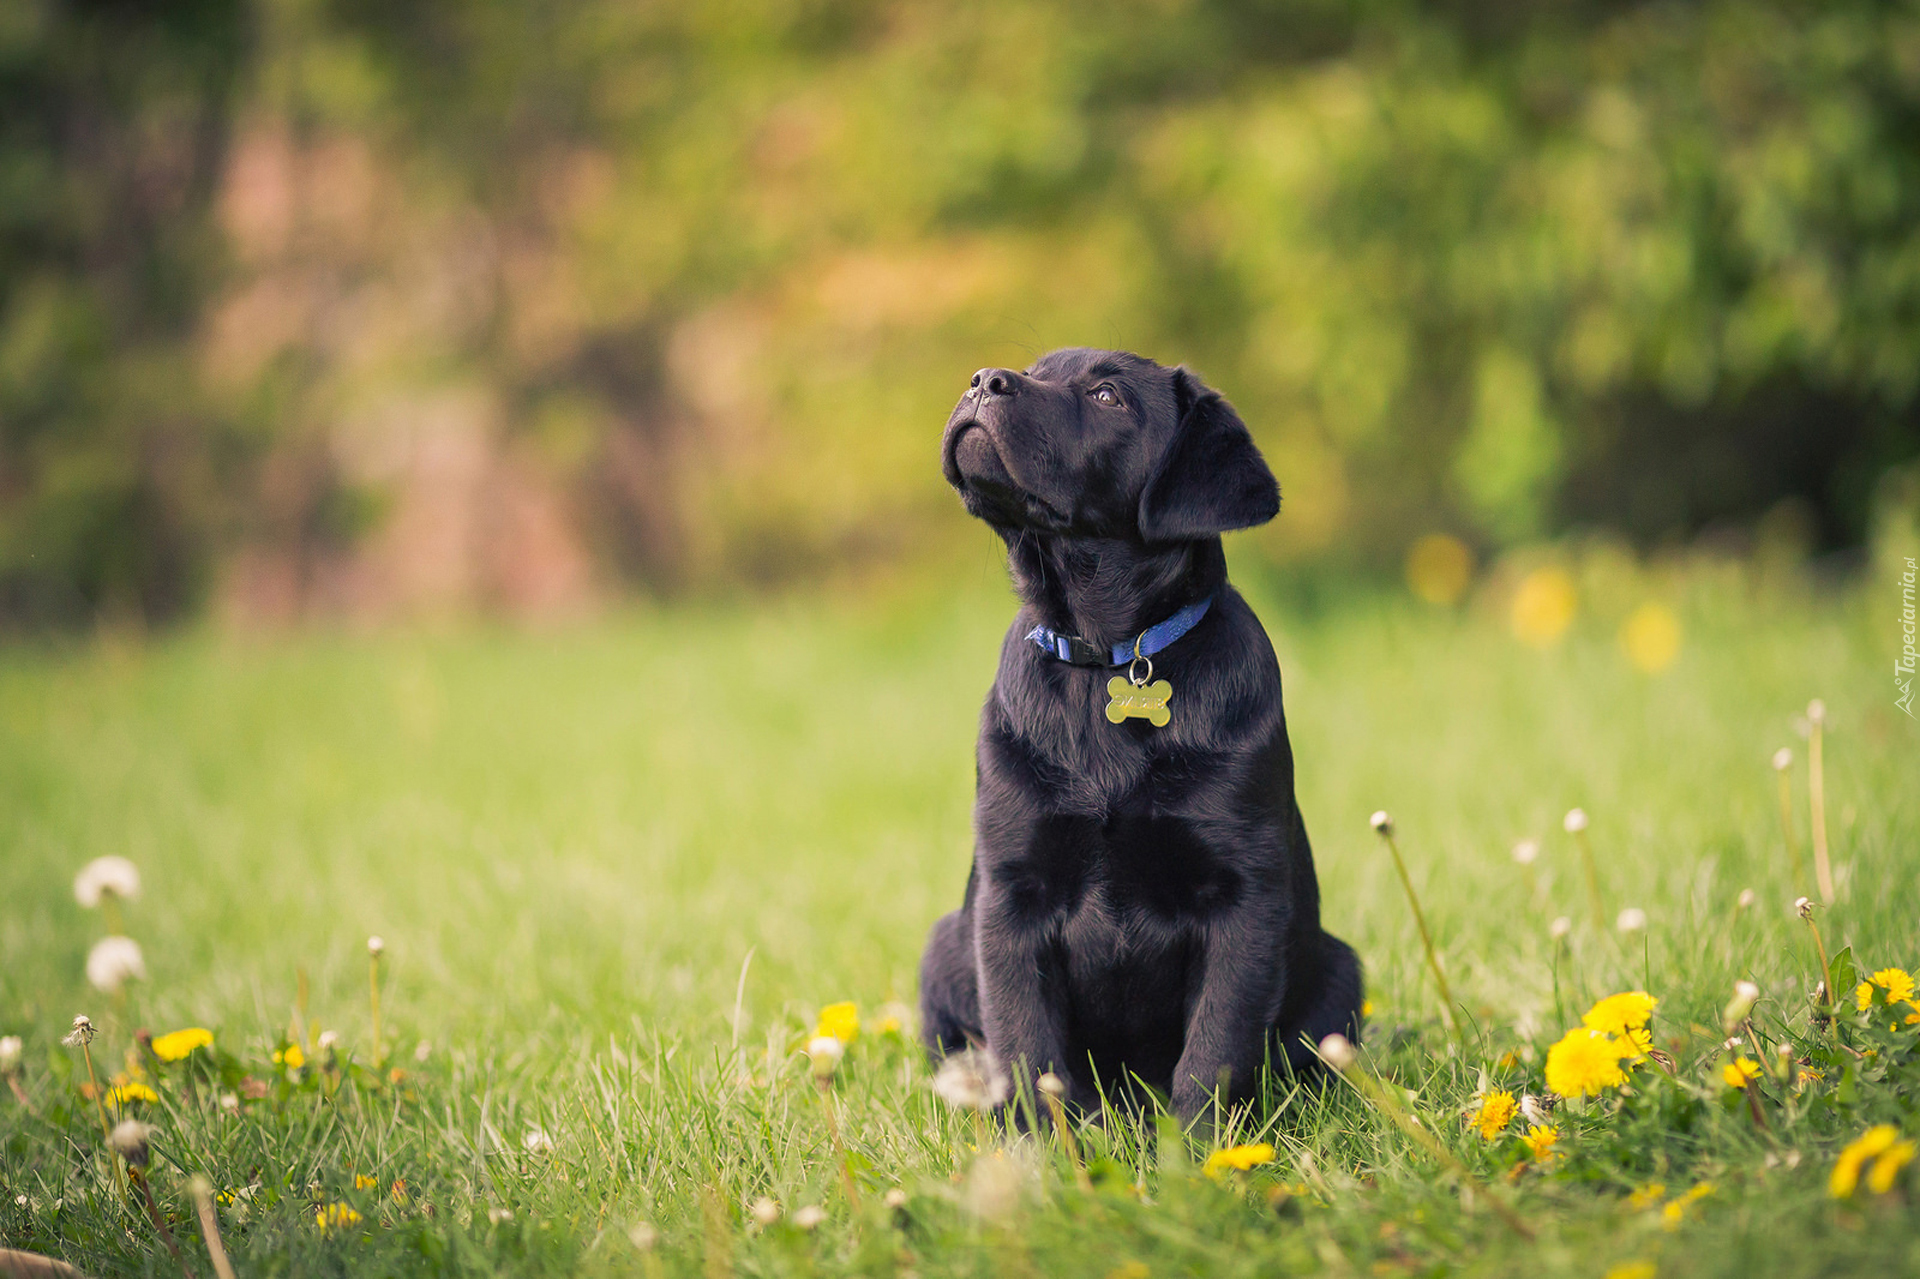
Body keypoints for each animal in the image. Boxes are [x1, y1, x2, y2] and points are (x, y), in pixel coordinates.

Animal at [917, 345, 1359, 1113]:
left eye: (1107, 395)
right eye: (1035, 367)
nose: (983, 381)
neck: (1108, 659)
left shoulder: (1244, 897)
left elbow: (1215, 1050)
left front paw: (1202, 1144)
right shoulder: (1011, 895)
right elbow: (1027, 1047)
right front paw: (1041, 1141)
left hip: (1339, 966)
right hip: (945, 945)